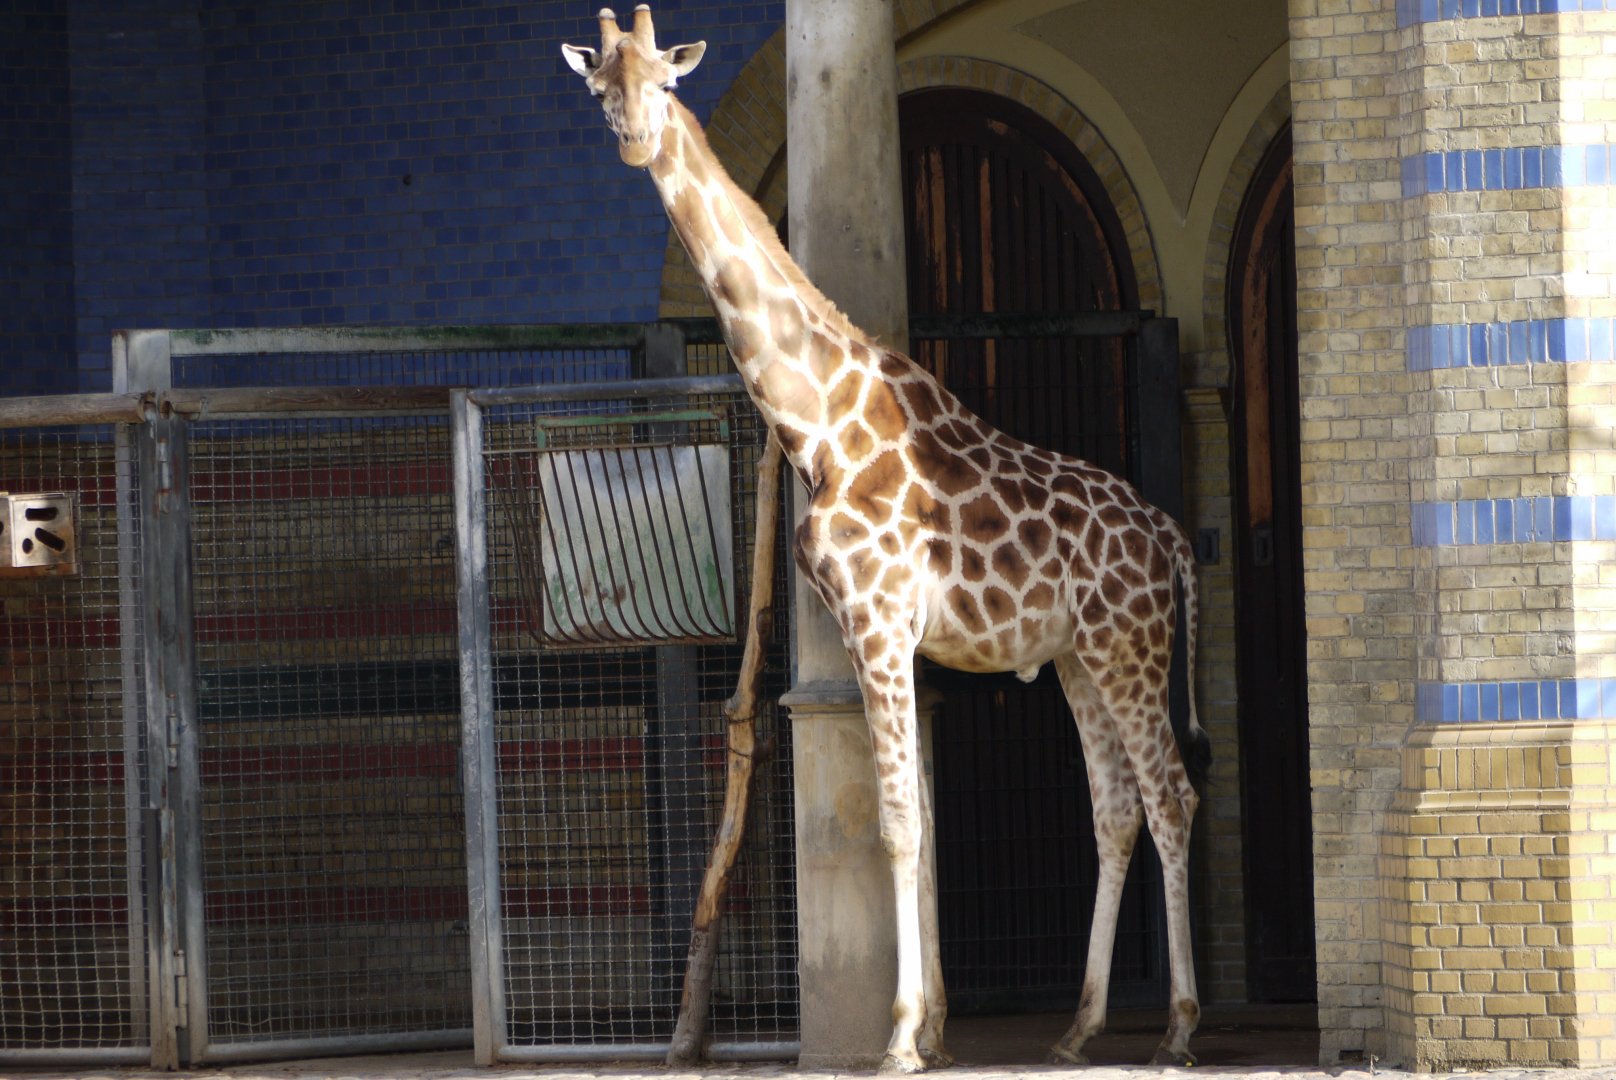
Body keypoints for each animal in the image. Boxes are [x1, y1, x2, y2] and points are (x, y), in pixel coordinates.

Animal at [563, 7, 1211, 1071]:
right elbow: (927, 820)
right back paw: (1079, 1026)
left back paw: (1180, 1028)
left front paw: (902, 1035)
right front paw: (935, 1026)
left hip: (1131, 647)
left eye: (662, 81)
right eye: (598, 87)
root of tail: (1171, 537)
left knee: (1170, 798)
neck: (816, 421)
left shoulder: (876, 622)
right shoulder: (892, 635)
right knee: (1116, 810)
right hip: (1078, 658)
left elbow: (900, 822)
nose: (633, 138)